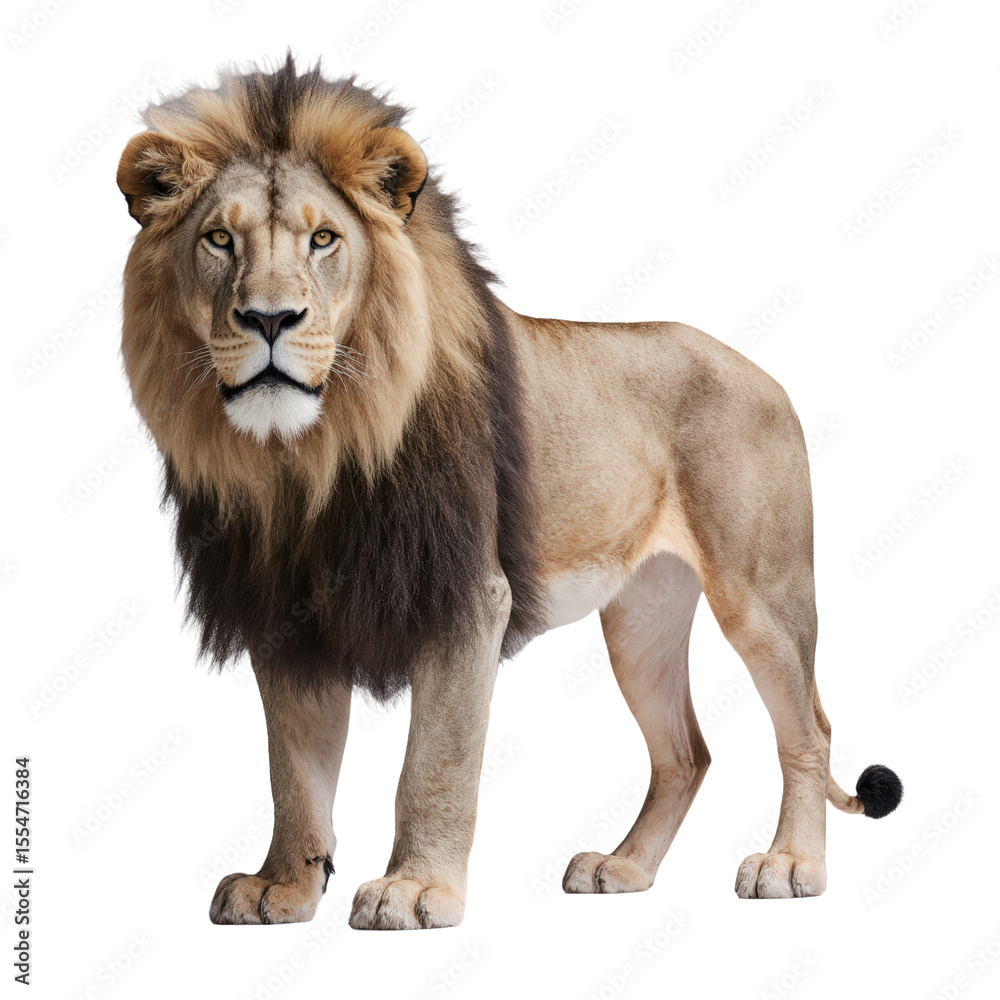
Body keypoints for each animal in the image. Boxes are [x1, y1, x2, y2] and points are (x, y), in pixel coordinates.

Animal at [117, 56, 902, 930]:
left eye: (324, 240)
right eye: (220, 239)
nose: (268, 319)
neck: (309, 456)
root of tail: (766, 372)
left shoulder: (467, 595)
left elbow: (434, 764)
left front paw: (414, 889)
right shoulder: (283, 612)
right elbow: (294, 772)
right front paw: (284, 886)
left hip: (760, 593)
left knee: (810, 732)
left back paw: (792, 863)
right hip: (643, 617)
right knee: (686, 751)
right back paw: (624, 868)